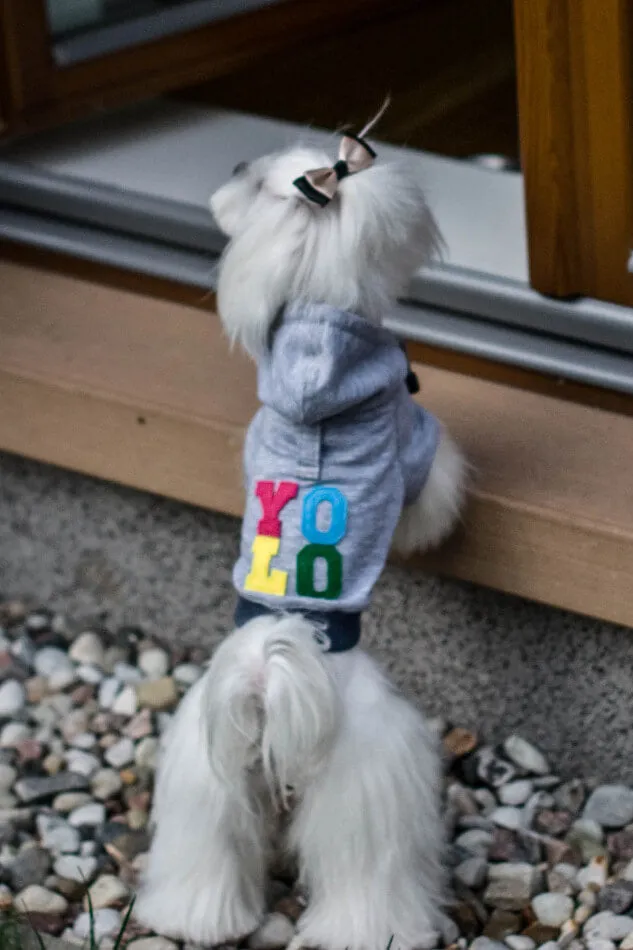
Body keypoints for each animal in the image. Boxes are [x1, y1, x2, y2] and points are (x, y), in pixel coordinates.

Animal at [137, 124, 464, 950]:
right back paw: (376, 930)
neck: (321, 336)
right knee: (365, 882)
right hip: (369, 790)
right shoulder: (414, 434)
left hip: (203, 783)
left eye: (253, 179)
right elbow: (435, 486)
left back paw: (191, 918)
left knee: (206, 858)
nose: (231, 161)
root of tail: (267, 669)